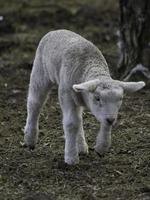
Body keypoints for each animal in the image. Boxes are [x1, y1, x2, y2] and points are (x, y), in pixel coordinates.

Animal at [23, 29, 145, 164]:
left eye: (120, 99)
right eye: (97, 98)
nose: (111, 119)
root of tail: (56, 30)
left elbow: (103, 124)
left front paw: (102, 146)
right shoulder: (67, 94)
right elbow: (71, 124)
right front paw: (71, 158)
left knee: (79, 118)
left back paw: (81, 146)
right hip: (40, 73)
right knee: (35, 103)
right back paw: (30, 138)